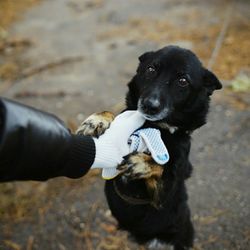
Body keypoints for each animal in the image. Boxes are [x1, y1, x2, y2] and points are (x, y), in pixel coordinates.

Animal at [77, 45, 222, 250]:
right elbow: (119, 114)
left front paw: (141, 163)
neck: (155, 127)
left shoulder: (163, 196)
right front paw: (97, 120)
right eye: (151, 69)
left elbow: (161, 166)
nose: (149, 106)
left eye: (183, 81)